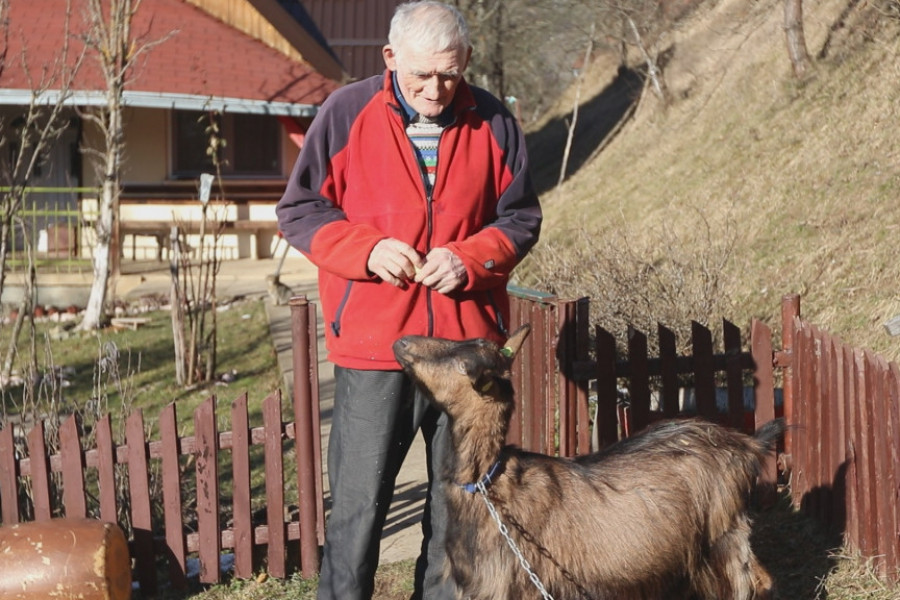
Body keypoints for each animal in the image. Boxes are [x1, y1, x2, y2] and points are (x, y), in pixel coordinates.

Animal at [394, 326, 780, 600]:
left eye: (459, 361)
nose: (401, 342)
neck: (489, 484)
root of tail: (744, 442)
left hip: (723, 538)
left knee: (755, 583)